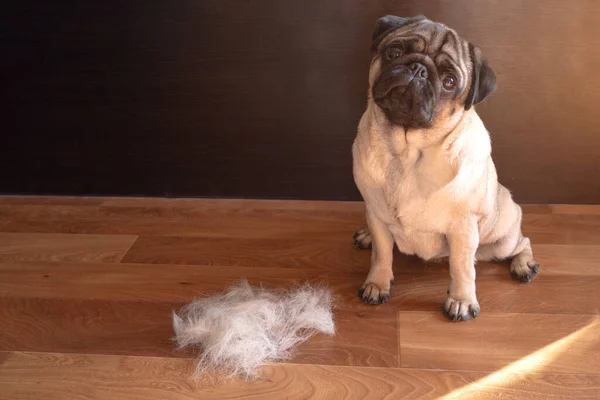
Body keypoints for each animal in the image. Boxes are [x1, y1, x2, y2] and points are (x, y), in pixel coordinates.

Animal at [352, 14, 540, 322]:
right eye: (394, 53)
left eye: (449, 81)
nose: (417, 69)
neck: (406, 153)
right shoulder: (377, 214)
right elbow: (381, 254)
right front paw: (377, 284)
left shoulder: (463, 229)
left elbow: (462, 268)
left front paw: (462, 301)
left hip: (501, 239)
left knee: (522, 242)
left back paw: (524, 265)